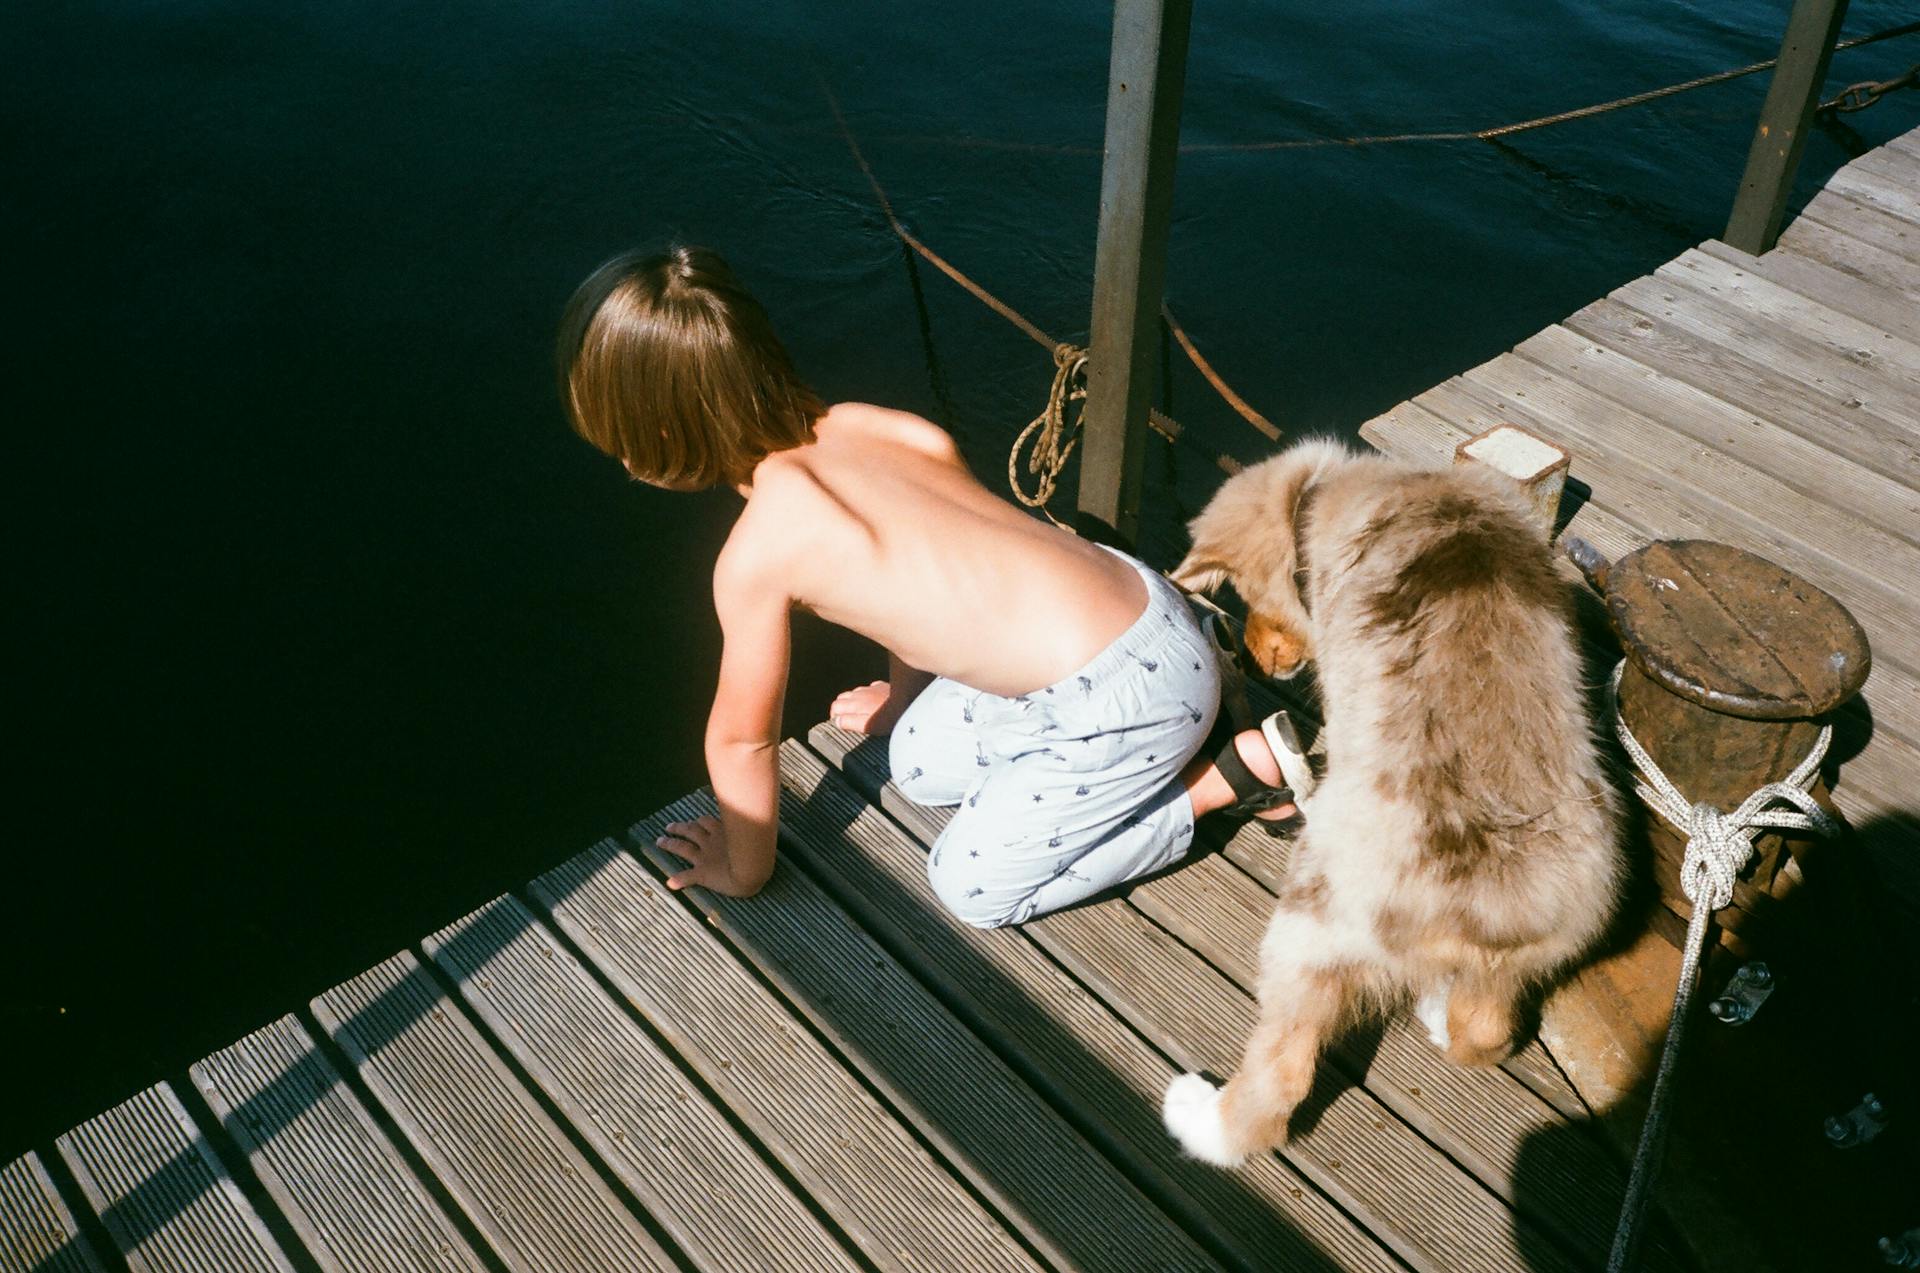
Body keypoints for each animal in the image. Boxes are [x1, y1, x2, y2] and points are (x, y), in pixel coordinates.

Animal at [1159, 437, 1612, 1167]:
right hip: (1523, 959)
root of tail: (1484, 907)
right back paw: (1439, 1015)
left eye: (1247, 595)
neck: (1319, 496)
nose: (1252, 662)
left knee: (1279, 1082)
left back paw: (1200, 1118)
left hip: (1306, 930)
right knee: (1487, 1030)